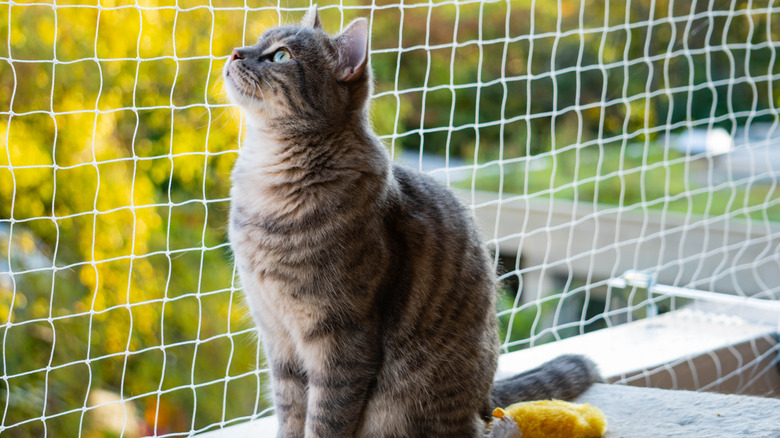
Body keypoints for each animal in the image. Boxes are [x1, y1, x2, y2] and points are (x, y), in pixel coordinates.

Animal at [222, 6, 600, 438]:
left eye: (281, 56)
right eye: (258, 42)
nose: (235, 52)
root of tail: (485, 398)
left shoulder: (341, 338)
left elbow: (326, 419)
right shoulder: (278, 338)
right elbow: (290, 414)